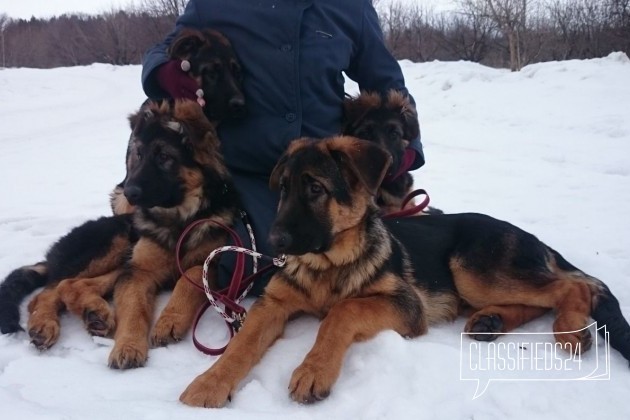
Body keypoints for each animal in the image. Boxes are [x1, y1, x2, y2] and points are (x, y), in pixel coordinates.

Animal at [177, 137, 630, 406]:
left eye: (316, 189)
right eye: (283, 189)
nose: (274, 242)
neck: (330, 266)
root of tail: (528, 235)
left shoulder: (405, 306)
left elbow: (343, 311)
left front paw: (314, 369)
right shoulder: (272, 306)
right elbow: (241, 345)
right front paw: (210, 382)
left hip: (471, 268)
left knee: (576, 287)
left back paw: (570, 328)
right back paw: (491, 322)